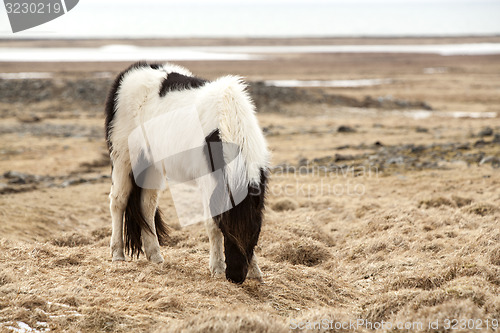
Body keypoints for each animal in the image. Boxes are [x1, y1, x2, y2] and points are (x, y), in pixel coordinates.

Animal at [103, 61, 270, 282]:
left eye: (255, 232)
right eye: (227, 229)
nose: (235, 277)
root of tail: (129, 74)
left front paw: (256, 273)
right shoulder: (210, 182)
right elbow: (212, 224)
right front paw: (217, 269)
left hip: (152, 166)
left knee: (146, 206)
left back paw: (155, 256)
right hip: (123, 158)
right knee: (119, 201)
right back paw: (118, 254)